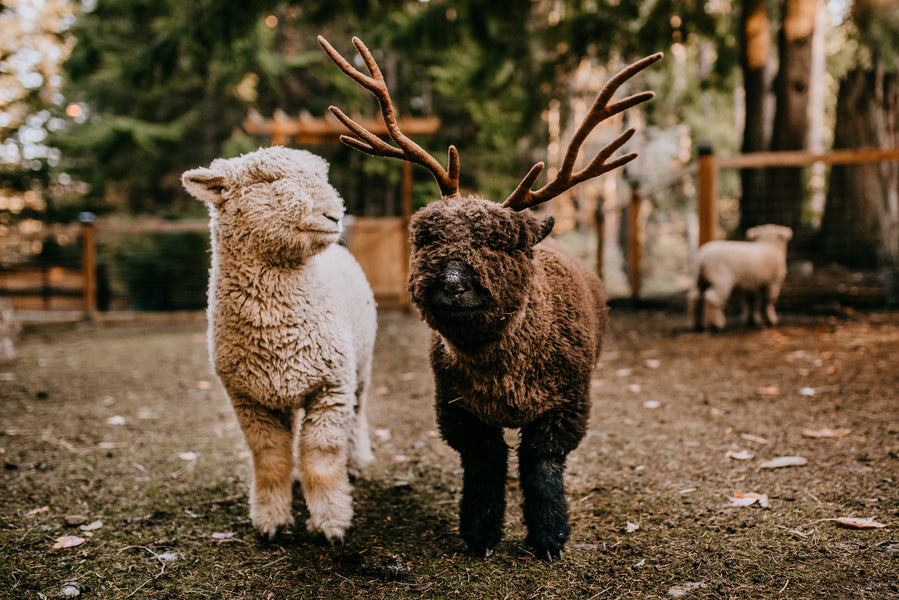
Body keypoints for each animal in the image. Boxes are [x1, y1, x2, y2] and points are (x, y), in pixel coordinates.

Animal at [181, 146, 378, 544]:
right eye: (268, 181)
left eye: (321, 176)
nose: (334, 214)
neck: (278, 334)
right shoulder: (248, 397)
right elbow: (270, 457)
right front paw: (271, 521)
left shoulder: (332, 385)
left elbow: (322, 456)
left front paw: (331, 522)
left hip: (360, 367)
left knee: (358, 412)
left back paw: (356, 462)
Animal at [324, 36, 660, 564]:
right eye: (425, 238)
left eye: (499, 243)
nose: (451, 283)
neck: (506, 378)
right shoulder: (459, 410)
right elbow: (484, 468)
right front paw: (480, 536)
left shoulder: (565, 407)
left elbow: (542, 470)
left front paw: (549, 540)